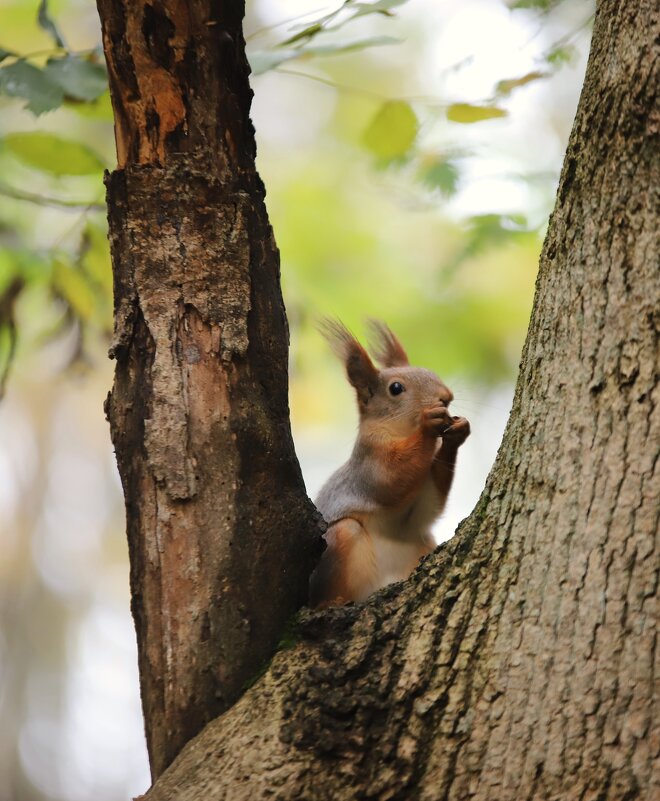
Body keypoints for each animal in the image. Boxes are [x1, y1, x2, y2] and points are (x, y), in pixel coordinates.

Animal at [310, 318, 470, 608]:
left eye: (428, 370)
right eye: (396, 388)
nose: (446, 396)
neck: (403, 433)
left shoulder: (422, 500)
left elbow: (430, 503)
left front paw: (458, 431)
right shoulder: (369, 463)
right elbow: (391, 480)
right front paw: (429, 424)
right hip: (340, 540)